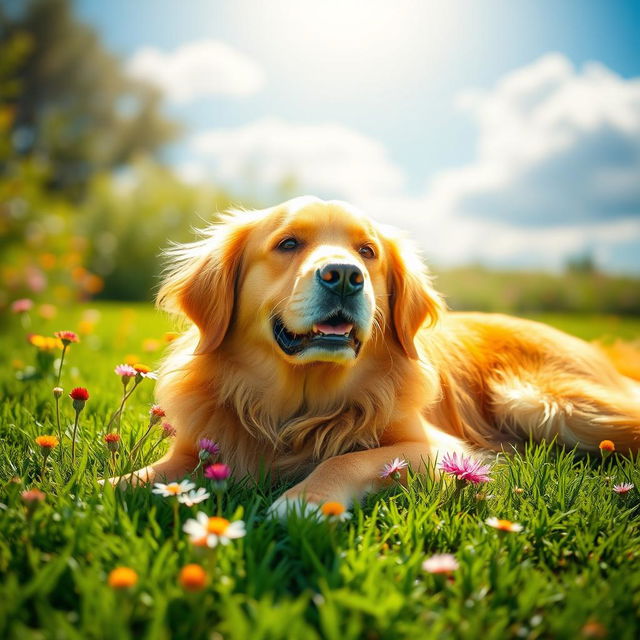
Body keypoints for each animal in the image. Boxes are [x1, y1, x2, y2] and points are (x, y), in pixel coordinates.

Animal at [130, 196, 640, 516]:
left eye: (367, 251)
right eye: (288, 243)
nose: (343, 275)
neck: (300, 409)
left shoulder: (440, 449)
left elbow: (346, 459)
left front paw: (303, 501)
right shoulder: (198, 447)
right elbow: (146, 477)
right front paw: (113, 488)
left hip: (541, 402)